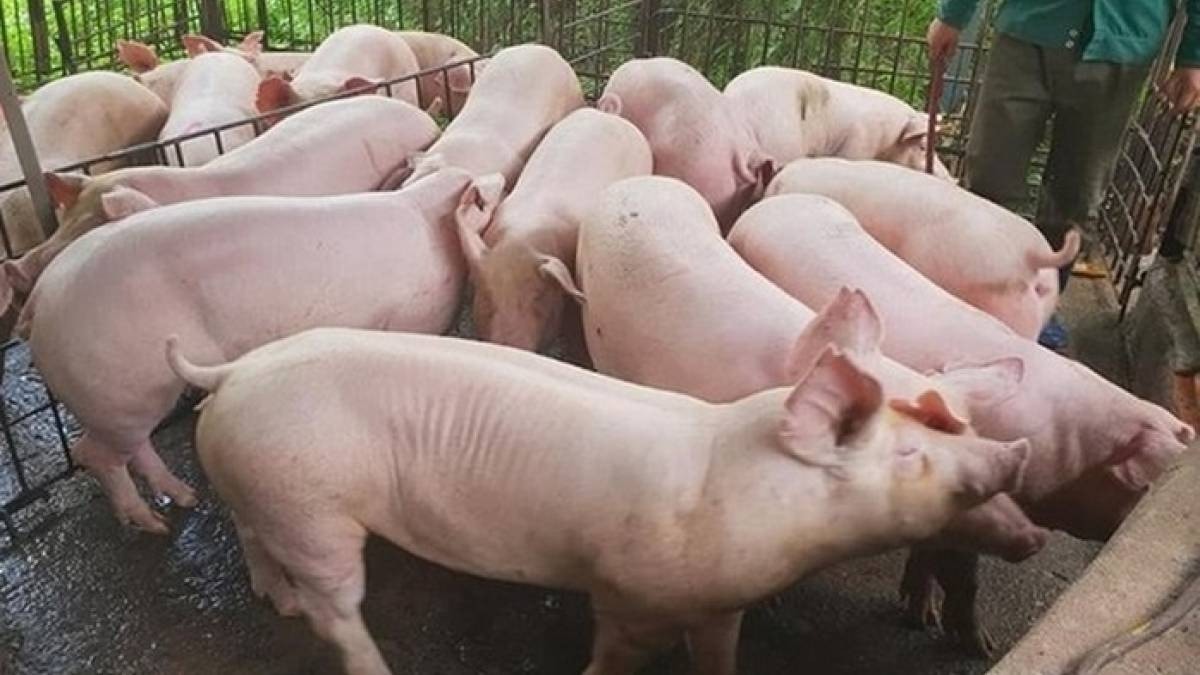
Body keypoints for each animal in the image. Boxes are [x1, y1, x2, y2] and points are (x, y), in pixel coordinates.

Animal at [20, 165, 502, 534]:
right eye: (486, 197)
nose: (500, 178)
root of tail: (42, 297)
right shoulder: (411, 319)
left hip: (128, 396)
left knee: (130, 446)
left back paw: (187, 499)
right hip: (117, 387)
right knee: (93, 454)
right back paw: (154, 526)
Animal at [165, 321, 1032, 675]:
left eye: (958, 428)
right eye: (910, 453)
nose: (1015, 453)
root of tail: (231, 371)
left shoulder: (723, 602)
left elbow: (719, 656)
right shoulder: (627, 593)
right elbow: (614, 654)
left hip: (262, 482)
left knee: (253, 536)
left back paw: (272, 598)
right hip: (313, 502)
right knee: (335, 609)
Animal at [728, 193, 1194, 655]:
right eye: (1149, 484)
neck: (1071, 454)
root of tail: (775, 202)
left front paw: (921, 616)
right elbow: (963, 576)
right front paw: (980, 647)